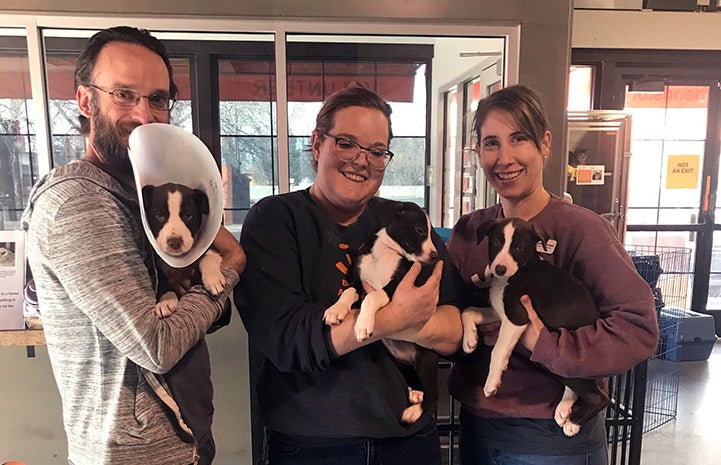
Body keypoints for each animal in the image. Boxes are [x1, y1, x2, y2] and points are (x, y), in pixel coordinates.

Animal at [139, 180, 221, 316]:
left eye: (188, 215)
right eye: (159, 215)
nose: (175, 242)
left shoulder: (212, 250)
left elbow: (208, 258)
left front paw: (214, 280)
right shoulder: (160, 266)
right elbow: (162, 281)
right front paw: (166, 300)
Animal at [324, 200, 438, 424]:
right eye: (420, 230)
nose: (435, 255)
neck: (383, 252)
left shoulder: (395, 286)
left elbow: (373, 296)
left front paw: (362, 325)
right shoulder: (358, 282)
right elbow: (348, 292)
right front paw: (336, 310)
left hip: (426, 360)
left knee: (434, 394)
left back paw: (414, 412)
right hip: (400, 362)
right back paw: (415, 392)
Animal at [462, 217, 608, 436]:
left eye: (519, 247)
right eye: (496, 242)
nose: (499, 269)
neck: (518, 272)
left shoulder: (517, 318)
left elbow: (498, 350)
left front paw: (492, 383)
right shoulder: (500, 312)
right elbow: (468, 311)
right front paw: (470, 340)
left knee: (599, 397)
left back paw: (573, 423)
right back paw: (564, 408)